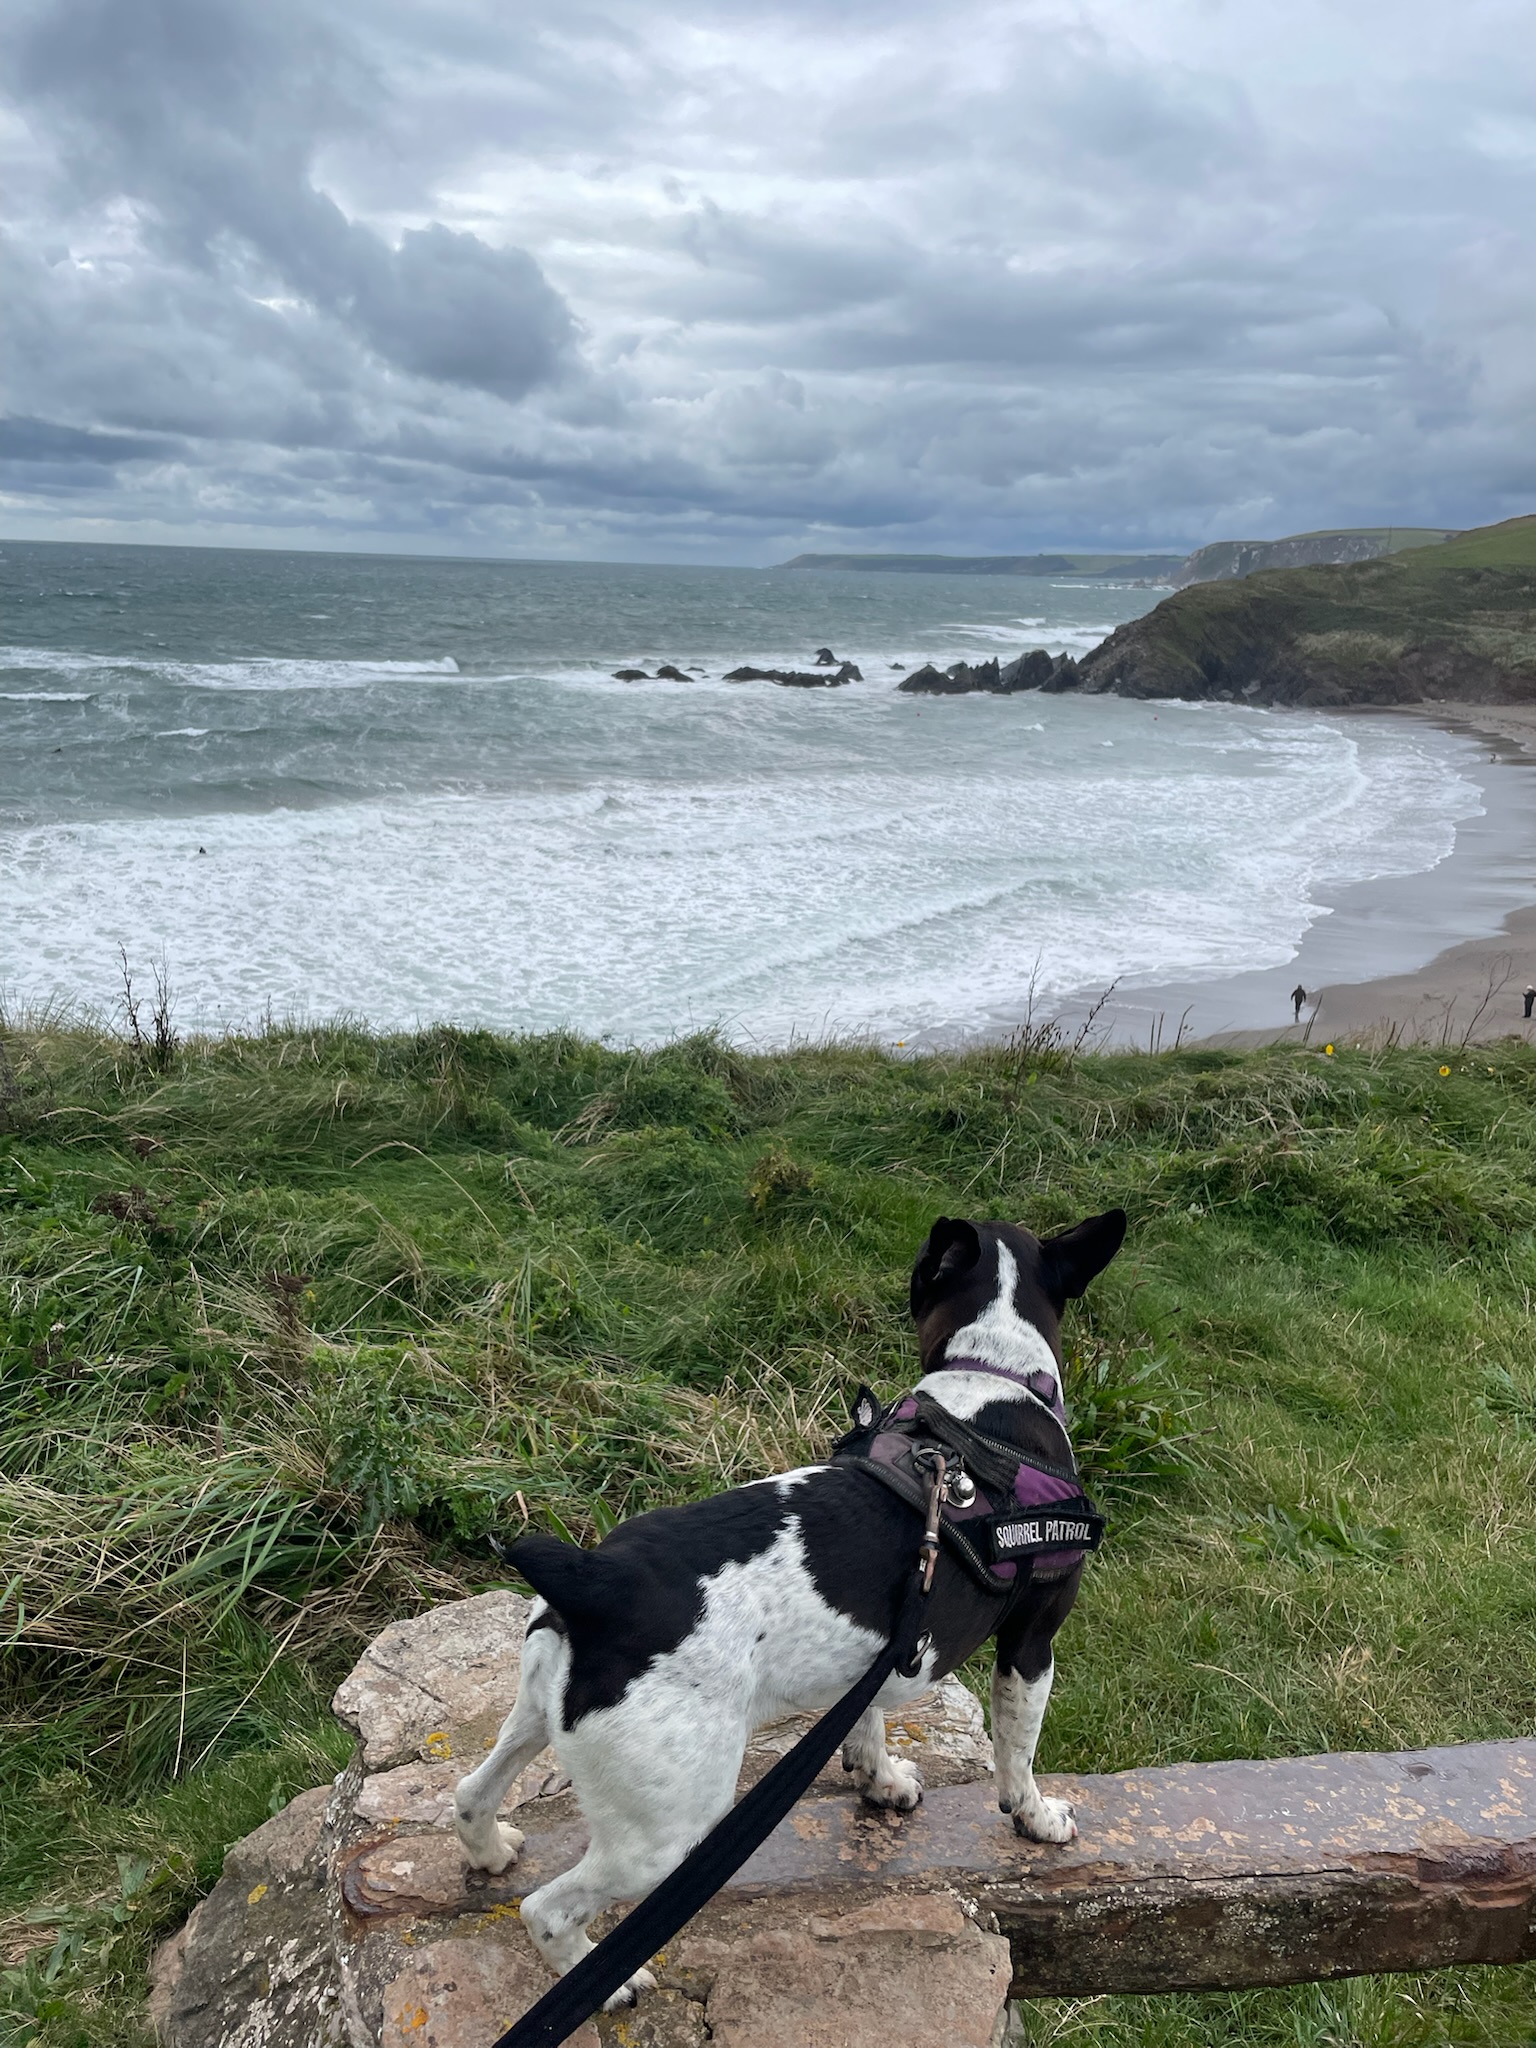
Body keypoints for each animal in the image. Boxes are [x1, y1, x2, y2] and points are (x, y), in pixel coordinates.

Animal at [450, 1204, 1122, 2007]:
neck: (991, 1381)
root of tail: (598, 1579)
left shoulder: (878, 1652)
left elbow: (865, 1722)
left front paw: (880, 1782)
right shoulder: (1031, 1641)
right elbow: (1017, 1754)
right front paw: (1036, 1816)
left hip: (535, 1714)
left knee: (471, 1792)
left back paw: (490, 1850)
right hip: (667, 1832)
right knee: (547, 1910)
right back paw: (604, 1982)